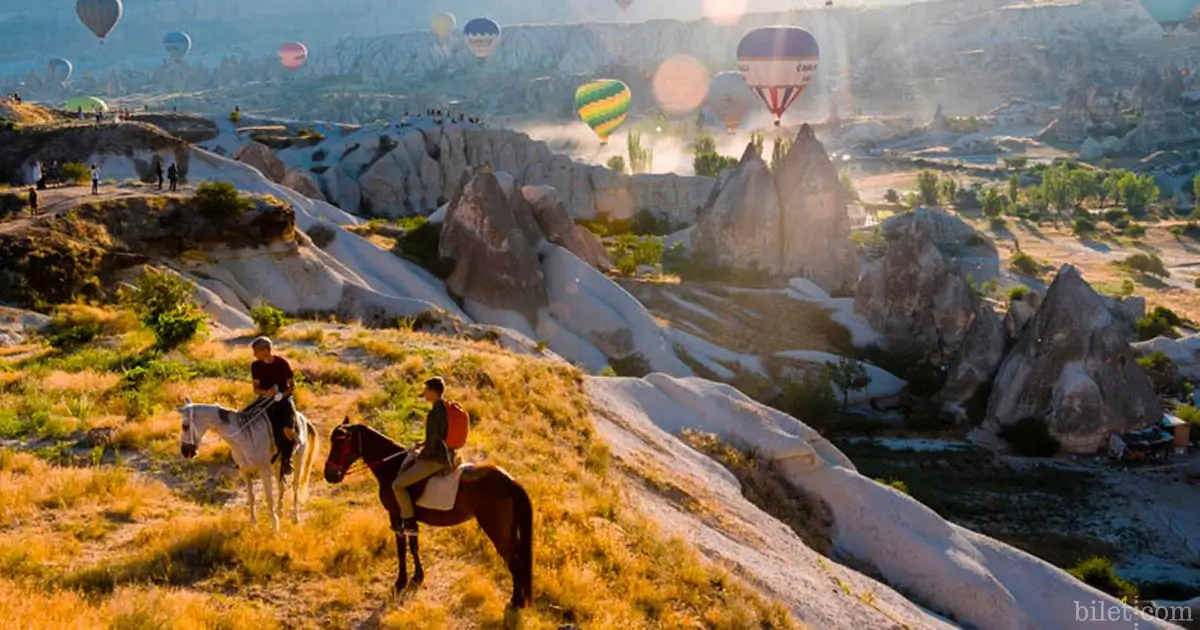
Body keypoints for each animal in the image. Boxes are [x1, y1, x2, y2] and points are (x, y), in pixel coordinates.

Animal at [176, 396, 319, 528]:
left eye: (185, 426)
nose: (185, 452)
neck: (243, 437)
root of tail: (302, 418)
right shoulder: (245, 471)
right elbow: (251, 496)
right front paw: (254, 524)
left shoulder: (263, 470)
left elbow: (269, 497)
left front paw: (275, 526)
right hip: (277, 464)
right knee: (281, 487)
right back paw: (280, 512)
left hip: (298, 458)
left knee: (295, 486)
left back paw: (295, 517)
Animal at [326, 417, 537, 609]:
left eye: (340, 443)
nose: (329, 475)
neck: (393, 467)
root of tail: (510, 482)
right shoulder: (409, 519)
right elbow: (414, 546)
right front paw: (417, 577)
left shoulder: (396, 517)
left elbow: (402, 549)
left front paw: (401, 581)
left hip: (498, 532)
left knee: (514, 562)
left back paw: (515, 602)